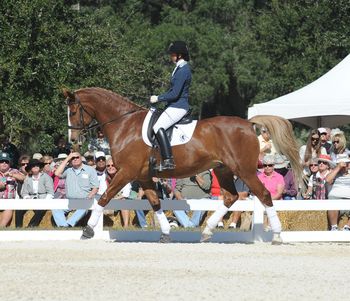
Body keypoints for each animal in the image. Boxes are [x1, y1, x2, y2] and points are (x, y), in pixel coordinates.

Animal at [64, 86, 302, 241]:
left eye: (74, 111)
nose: (73, 140)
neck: (125, 124)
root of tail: (247, 123)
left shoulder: (126, 172)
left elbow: (104, 197)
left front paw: (88, 230)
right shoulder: (143, 176)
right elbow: (155, 203)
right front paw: (165, 233)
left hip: (245, 171)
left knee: (263, 195)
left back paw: (277, 235)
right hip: (223, 169)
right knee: (230, 197)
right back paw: (206, 232)